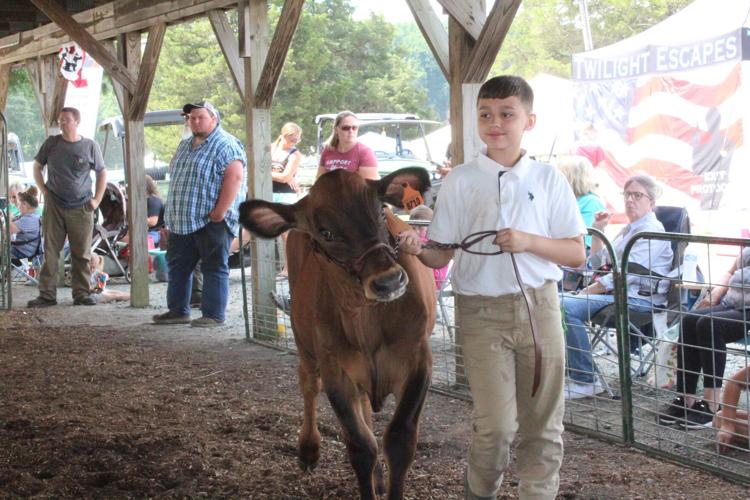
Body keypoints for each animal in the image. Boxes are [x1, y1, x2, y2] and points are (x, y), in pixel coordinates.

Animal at [241, 170, 434, 498]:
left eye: (382, 211)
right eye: (326, 232)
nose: (389, 281)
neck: (366, 318)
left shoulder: (418, 360)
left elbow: (399, 440)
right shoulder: (337, 372)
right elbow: (360, 446)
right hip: (304, 342)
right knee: (309, 385)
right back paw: (308, 450)